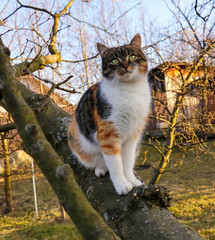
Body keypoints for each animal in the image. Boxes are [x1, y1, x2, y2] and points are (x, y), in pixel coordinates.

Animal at [67, 33, 151, 195]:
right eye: (115, 60)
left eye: (131, 57)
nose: (125, 65)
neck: (130, 91)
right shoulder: (108, 136)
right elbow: (116, 165)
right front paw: (122, 185)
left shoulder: (133, 136)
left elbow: (127, 162)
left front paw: (131, 180)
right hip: (75, 136)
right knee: (99, 160)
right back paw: (101, 168)